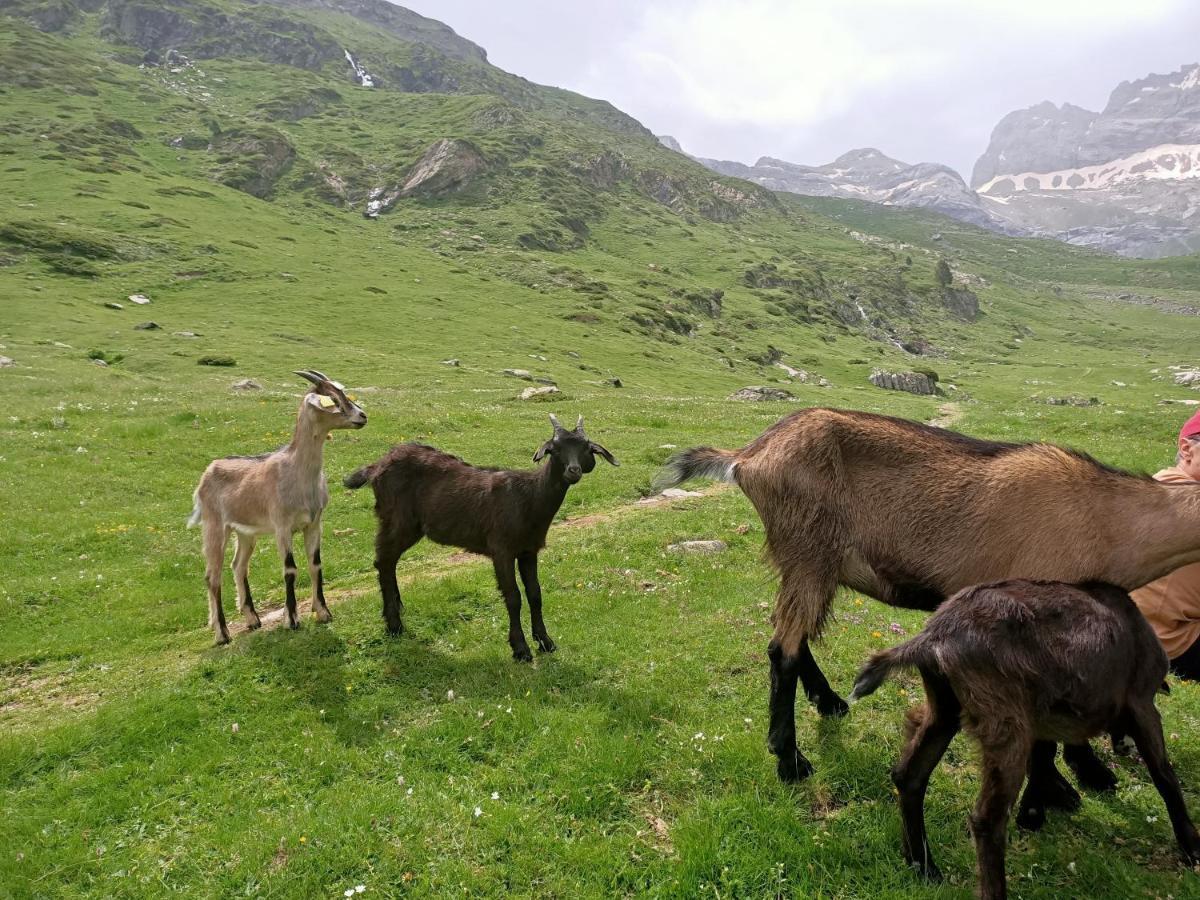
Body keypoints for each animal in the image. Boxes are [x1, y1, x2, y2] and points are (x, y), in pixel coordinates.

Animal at [186, 369, 364, 643]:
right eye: (333, 400)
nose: (362, 416)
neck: (297, 473)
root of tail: (208, 472)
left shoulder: (314, 523)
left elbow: (315, 564)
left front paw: (323, 612)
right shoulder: (282, 526)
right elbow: (290, 569)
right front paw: (291, 620)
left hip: (245, 533)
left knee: (238, 566)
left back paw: (252, 620)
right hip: (214, 526)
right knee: (212, 576)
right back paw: (222, 633)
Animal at [340, 415, 614, 662]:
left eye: (586, 448)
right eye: (555, 450)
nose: (573, 470)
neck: (530, 498)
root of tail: (376, 465)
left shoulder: (528, 550)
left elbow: (535, 594)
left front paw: (545, 642)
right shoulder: (502, 548)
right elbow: (513, 597)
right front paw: (520, 649)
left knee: (388, 562)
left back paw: (396, 616)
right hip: (397, 520)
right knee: (383, 561)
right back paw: (394, 625)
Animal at [657, 405, 1200, 787]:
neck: (1108, 519)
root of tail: (748, 457)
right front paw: (1082, 778)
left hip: (811, 562)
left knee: (794, 633)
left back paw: (829, 703)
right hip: (809, 549)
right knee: (781, 649)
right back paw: (790, 761)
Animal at [849, 580, 1200, 897]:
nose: (1122, 747)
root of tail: (934, 636)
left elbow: (1045, 755)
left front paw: (1036, 808)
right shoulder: (1142, 703)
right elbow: (1164, 775)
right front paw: (1191, 846)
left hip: (945, 707)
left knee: (909, 776)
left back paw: (922, 865)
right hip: (1005, 723)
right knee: (987, 819)